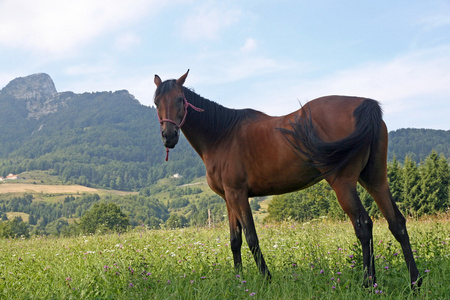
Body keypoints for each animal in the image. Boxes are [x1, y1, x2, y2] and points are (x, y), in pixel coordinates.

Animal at [154, 69, 422, 288]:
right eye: (156, 102)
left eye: (180, 100)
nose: (169, 136)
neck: (221, 134)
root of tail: (365, 105)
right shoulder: (228, 199)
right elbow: (235, 241)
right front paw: (239, 280)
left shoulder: (238, 195)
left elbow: (251, 237)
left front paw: (266, 279)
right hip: (375, 180)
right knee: (397, 223)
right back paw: (413, 282)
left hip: (343, 183)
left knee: (363, 225)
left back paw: (367, 283)